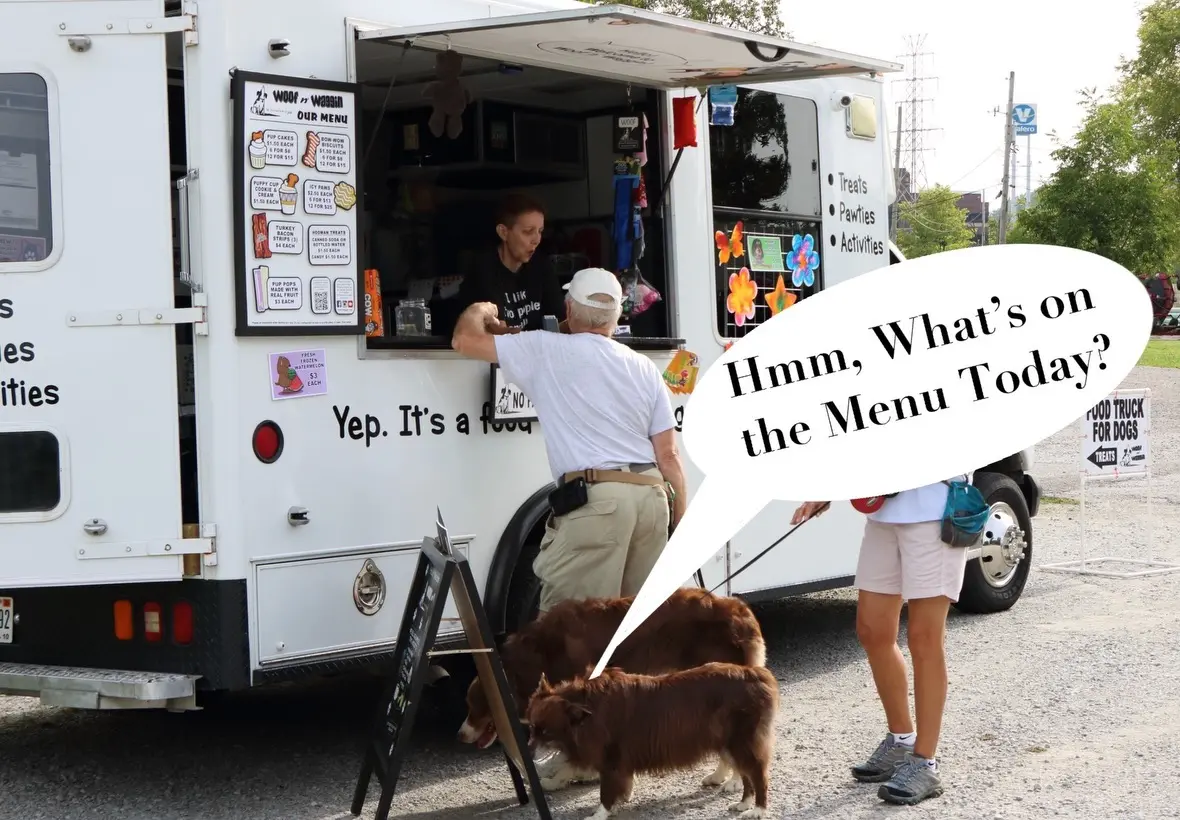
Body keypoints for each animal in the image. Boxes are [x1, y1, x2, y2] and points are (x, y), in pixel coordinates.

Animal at [455, 589, 769, 788]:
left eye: (475, 707)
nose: (460, 734)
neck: (535, 657)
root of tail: (739, 609)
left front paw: (563, 777)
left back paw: (731, 780)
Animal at [523, 665, 774, 816]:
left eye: (546, 732)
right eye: (532, 728)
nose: (527, 754)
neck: (588, 709)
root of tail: (756, 674)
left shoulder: (610, 758)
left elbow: (605, 792)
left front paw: (600, 814)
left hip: (741, 742)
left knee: (758, 775)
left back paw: (758, 810)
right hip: (730, 743)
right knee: (746, 774)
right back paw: (743, 802)